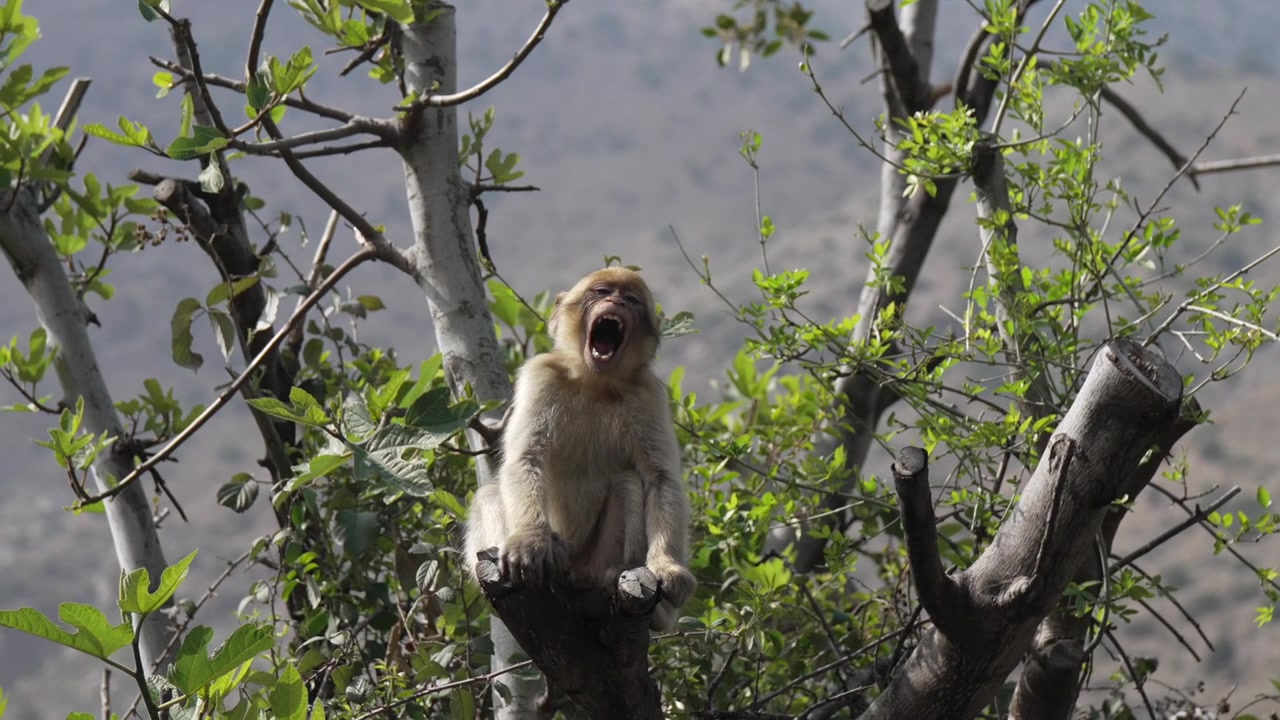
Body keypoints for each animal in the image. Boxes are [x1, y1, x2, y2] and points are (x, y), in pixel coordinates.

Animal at [465, 267, 696, 630]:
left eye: (631, 299)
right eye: (601, 292)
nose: (616, 302)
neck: (594, 381)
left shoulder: (648, 392)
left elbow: (661, 478)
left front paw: (667, 567)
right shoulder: (540, 374)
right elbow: (526, 457)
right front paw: (529, 539)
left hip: (594, 559)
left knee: (628, 482)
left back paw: (624, 582)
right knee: (489, 495)